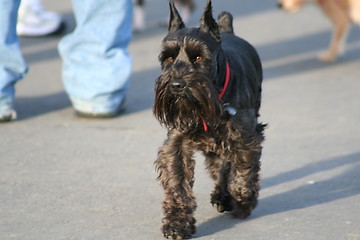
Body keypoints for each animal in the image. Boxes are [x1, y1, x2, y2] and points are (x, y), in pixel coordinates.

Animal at [153, 0, 264, 239]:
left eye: (199, 57)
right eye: (168, 58)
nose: (176, 85)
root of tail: (228, 31)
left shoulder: (245, 136)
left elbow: (243, 170)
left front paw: (243, 200)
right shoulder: (176, 143)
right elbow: (177, 182)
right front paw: (177, 223)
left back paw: (228, 197)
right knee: (218, 166)